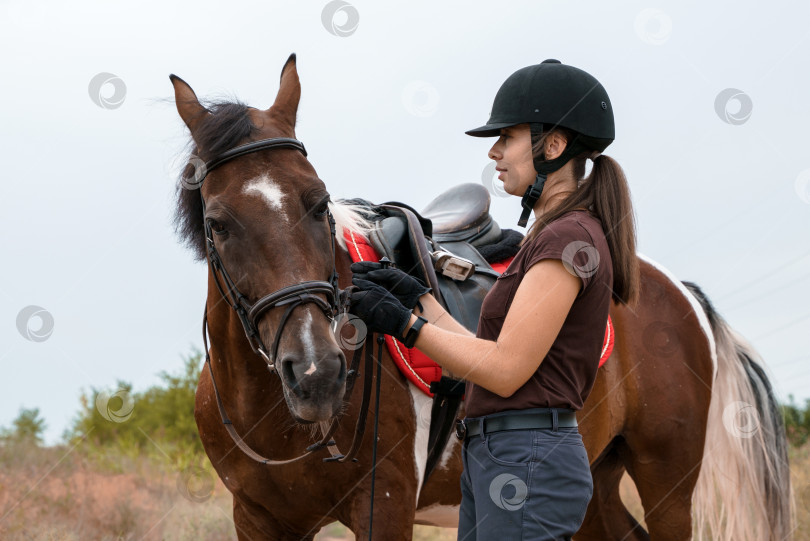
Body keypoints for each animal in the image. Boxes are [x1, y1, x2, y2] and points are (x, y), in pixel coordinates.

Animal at [169, 56, 788, 540]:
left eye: (319, 204)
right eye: (218, 224)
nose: (319, 373)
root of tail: (676, 289)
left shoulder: (384, 507)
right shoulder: (259, 520)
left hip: (667, 482)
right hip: (597, 482)